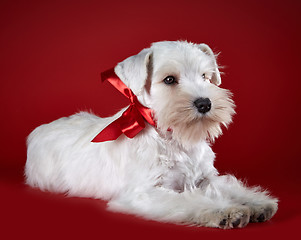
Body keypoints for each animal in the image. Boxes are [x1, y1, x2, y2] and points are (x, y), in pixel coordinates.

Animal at [25, 40, 276, 229]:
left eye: (205, 76)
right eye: (169, 79)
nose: (205, 103)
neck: (174, 139)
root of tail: (40, 129)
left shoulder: (205, 178)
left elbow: (226, 185)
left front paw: (255, 201)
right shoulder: (145, 192)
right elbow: (190, 199)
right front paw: (225, 210)